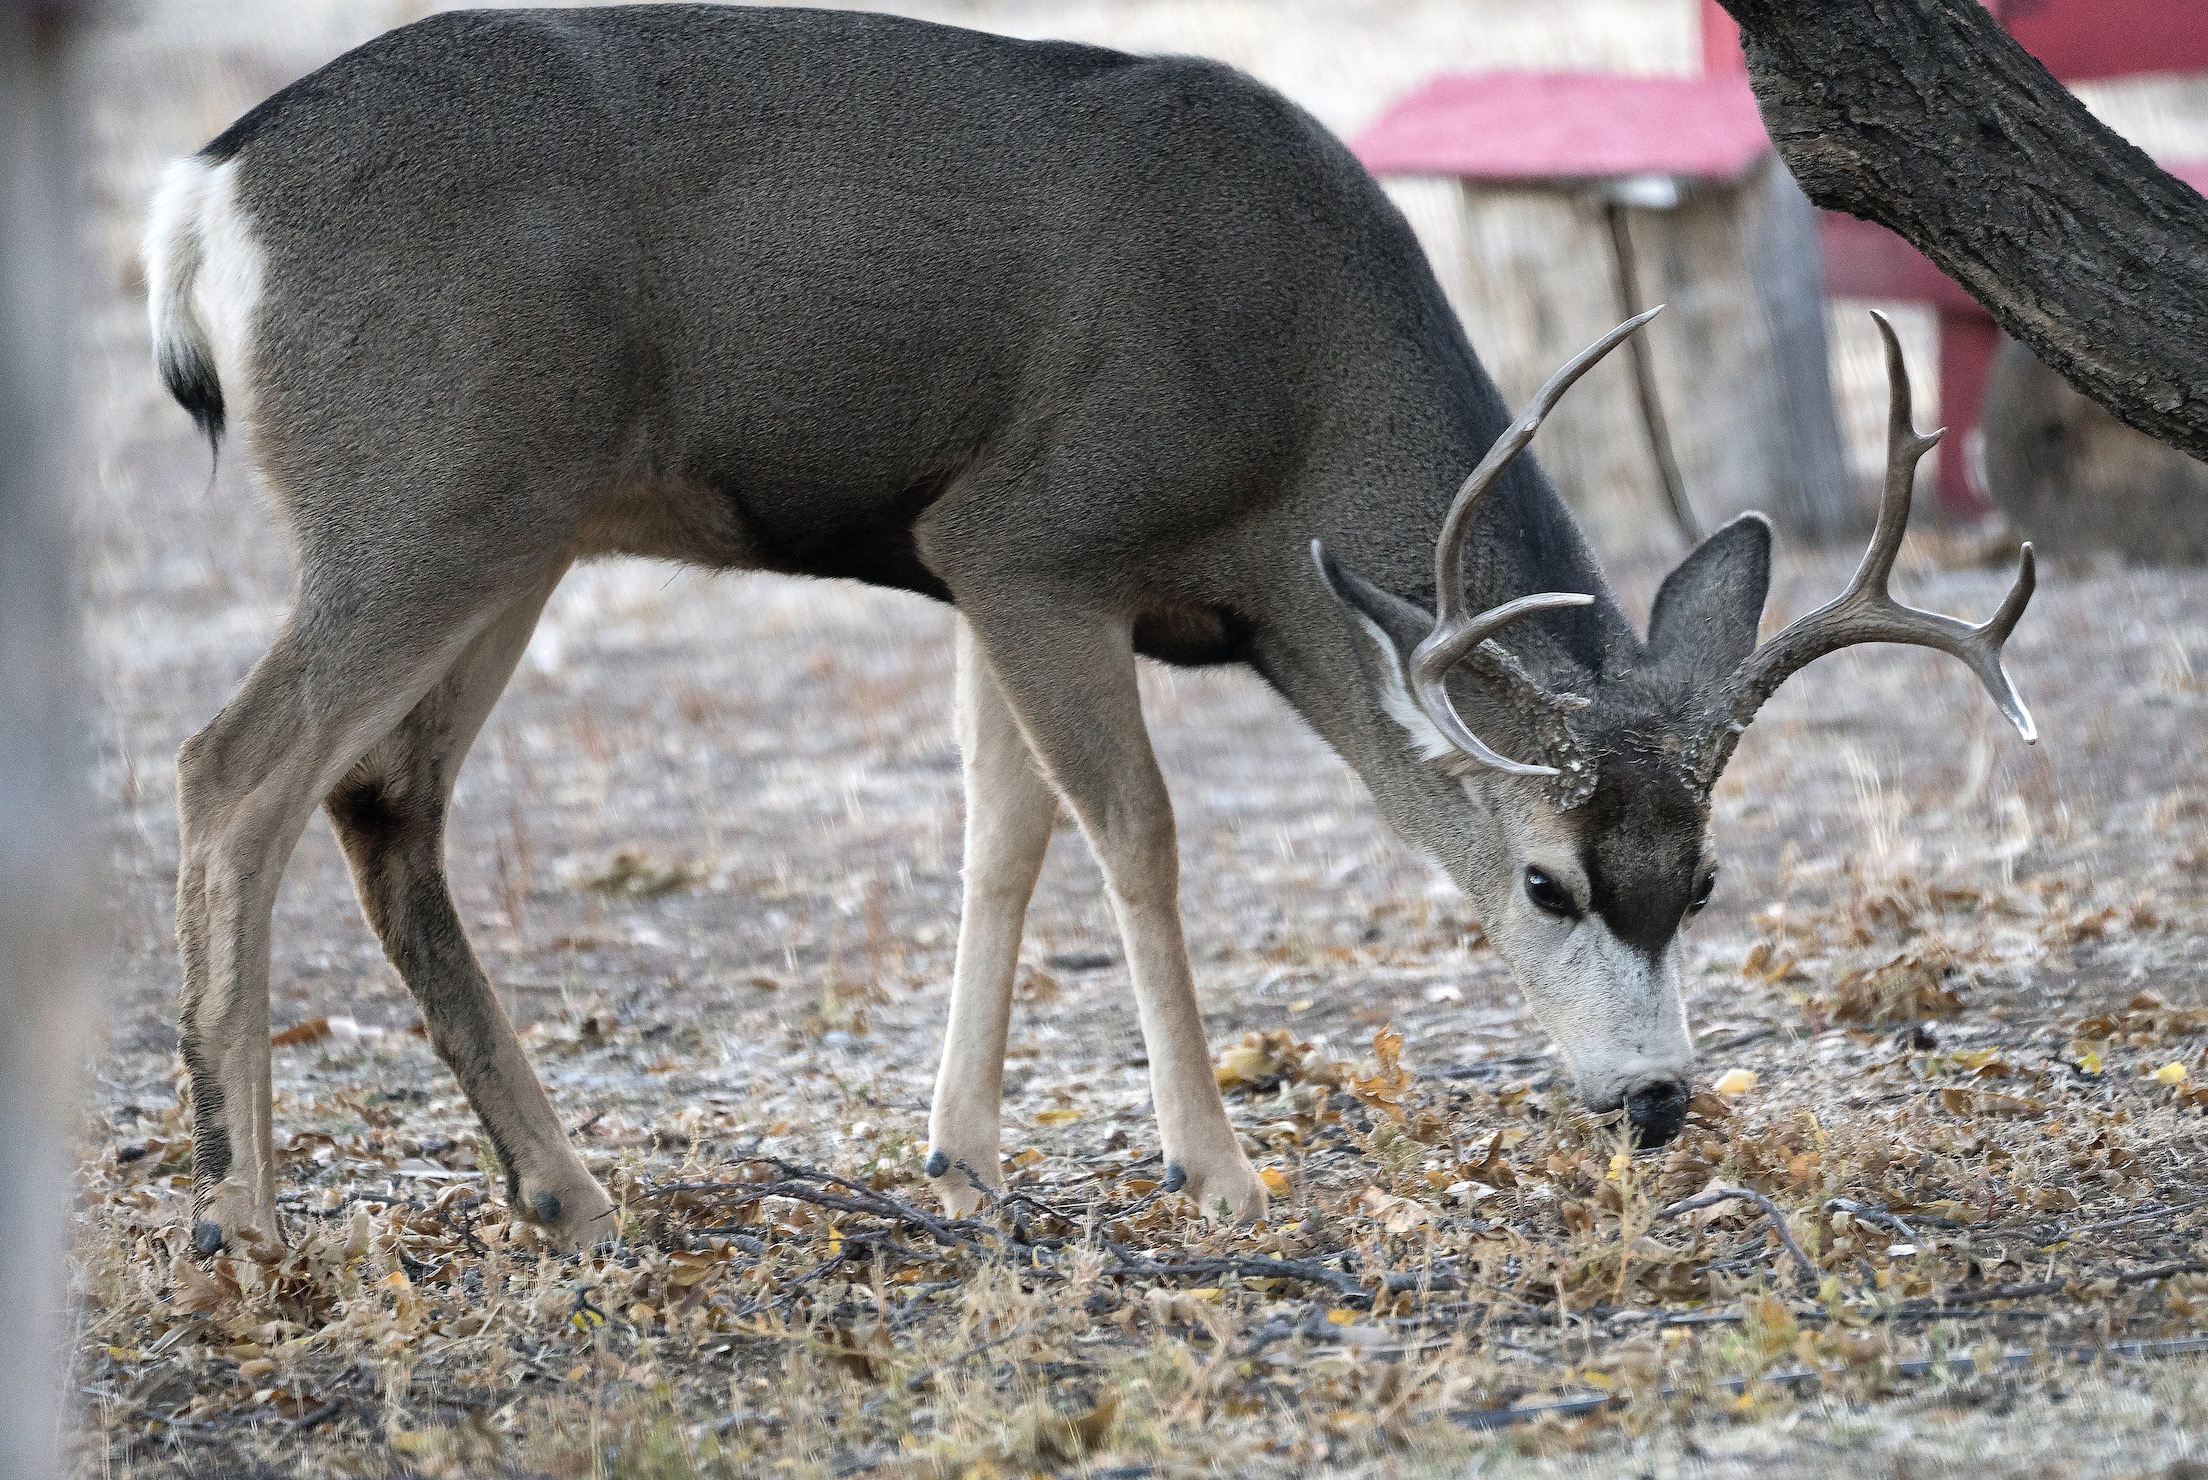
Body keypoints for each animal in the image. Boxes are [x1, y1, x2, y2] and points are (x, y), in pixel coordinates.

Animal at [144, 5, 2036, 1253]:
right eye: (1547, 884)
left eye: (1701, 880)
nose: (1652, 1101)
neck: (1288, 436)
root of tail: (201, 197)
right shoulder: (1027, 533)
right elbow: (1131, 828)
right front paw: (1213, 1164)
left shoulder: (989, 577)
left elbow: (1003, 830)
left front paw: (959, 1159)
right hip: (430, 492)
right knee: (231, 767)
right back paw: (240, 1215)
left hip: (520, 521)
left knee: (382, 800)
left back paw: (565, 1191)